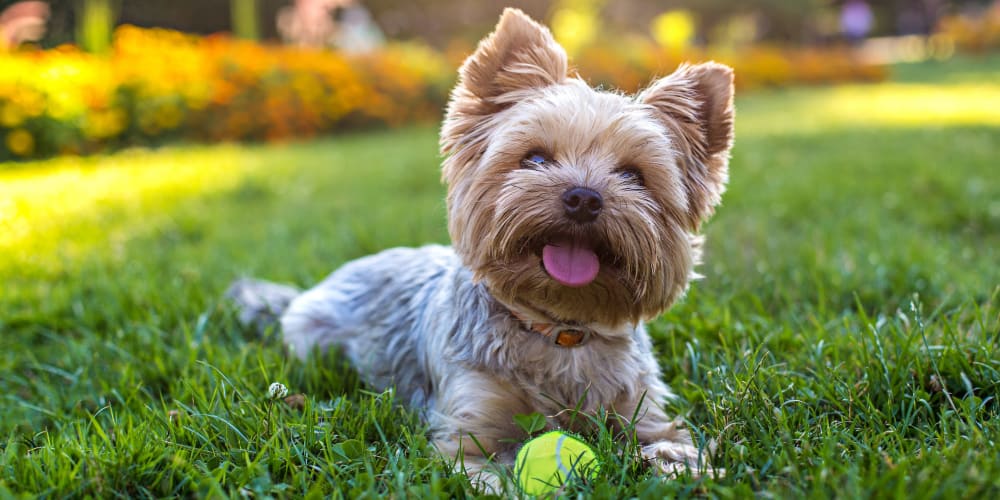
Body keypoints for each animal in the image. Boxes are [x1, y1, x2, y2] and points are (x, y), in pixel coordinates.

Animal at [229, 7, 736, 490]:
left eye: (634, 175)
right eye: (535, 158)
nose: (584, 197)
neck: (559, 331)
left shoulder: (644, 411)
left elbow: (672, 445)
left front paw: (686, 471)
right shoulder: (467, 432)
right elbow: (488, 471)